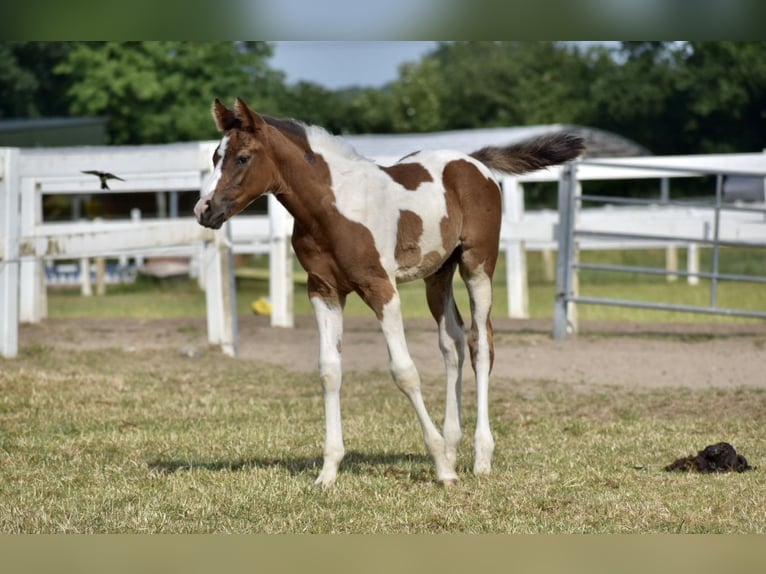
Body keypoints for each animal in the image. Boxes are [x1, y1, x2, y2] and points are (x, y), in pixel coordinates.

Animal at [195, 98, 584, 486]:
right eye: (215, 156)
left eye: (243, 157)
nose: (204, 210)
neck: (331, 209)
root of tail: (474, 162)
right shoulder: (323, 290)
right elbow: (329, 371)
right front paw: (328, 472)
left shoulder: (381, 288)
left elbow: (404, 370)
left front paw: (442, 468)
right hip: (437, 275)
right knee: (453, 342)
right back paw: (452, 444)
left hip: (478, 266)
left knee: (480, 343)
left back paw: (480, 456)